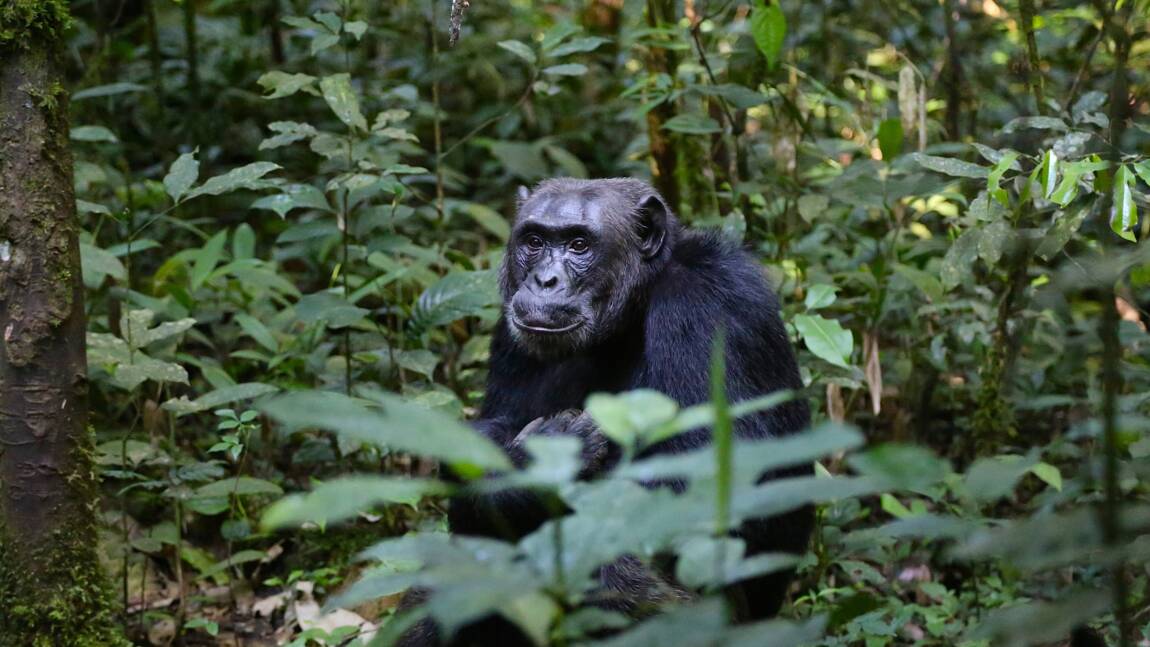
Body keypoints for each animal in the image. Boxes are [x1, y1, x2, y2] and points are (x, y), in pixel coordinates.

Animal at [400, 179, 814, 647]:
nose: (545, 280)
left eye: (579, 244)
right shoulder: (509, 334)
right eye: (535, 241)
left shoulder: (710, 306)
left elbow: (719, 480)